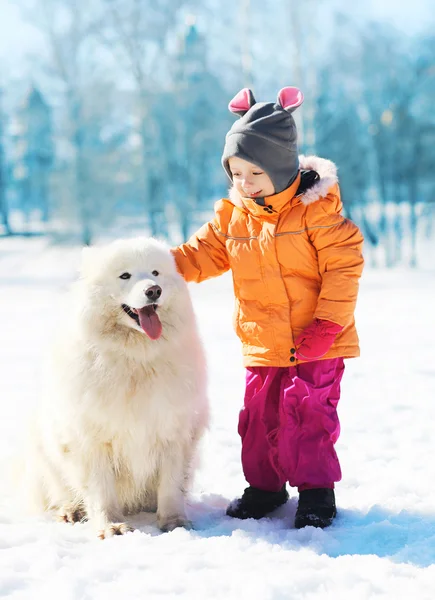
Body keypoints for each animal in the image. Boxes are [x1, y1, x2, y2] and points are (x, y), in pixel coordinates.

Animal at [25, 236, 209, 540]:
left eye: (156, 273)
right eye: (125, 276)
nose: (153, 290)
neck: (136, 357)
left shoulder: (173, 430)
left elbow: (171, 484)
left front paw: (174, 522)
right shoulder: (92, 438)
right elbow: (101, 489)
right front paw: (111, 526)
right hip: (49, 451)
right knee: (62, 491)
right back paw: (71, 511)